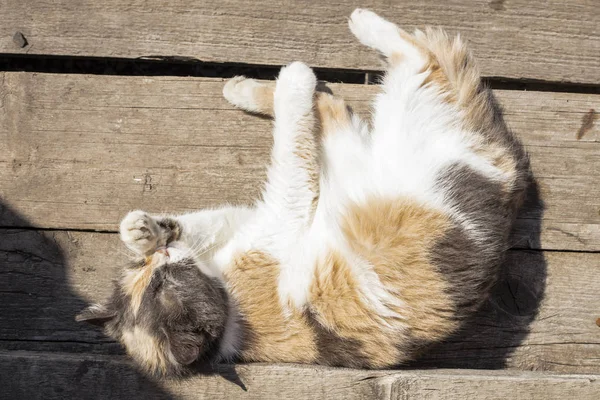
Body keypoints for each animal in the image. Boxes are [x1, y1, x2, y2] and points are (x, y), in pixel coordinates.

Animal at [77, 8, 528, 376]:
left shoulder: (253, 223)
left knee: (355, 87)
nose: (164, 258)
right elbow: (288, 162)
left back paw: (248, 85)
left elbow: (208, 220)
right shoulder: (278, 218)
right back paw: (322, 53)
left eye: (155, 279)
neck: (224, 294)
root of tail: (507, 172)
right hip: (400, 115)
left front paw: (141, 230)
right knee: (408, 61)